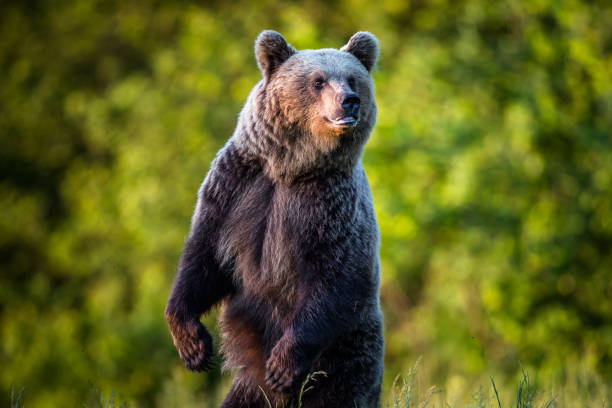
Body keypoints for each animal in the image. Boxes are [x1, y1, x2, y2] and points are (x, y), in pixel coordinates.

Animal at [165, 31, 384, 408]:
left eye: (353, 79)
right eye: (318, 81)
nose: (350, 102)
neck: (292, 167)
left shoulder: (329, 208)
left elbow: (333, 276)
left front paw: (283, 364)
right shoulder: (235, 188)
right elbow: (203, 258)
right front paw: (193, 344)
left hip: (350, 351)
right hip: (250, 387)